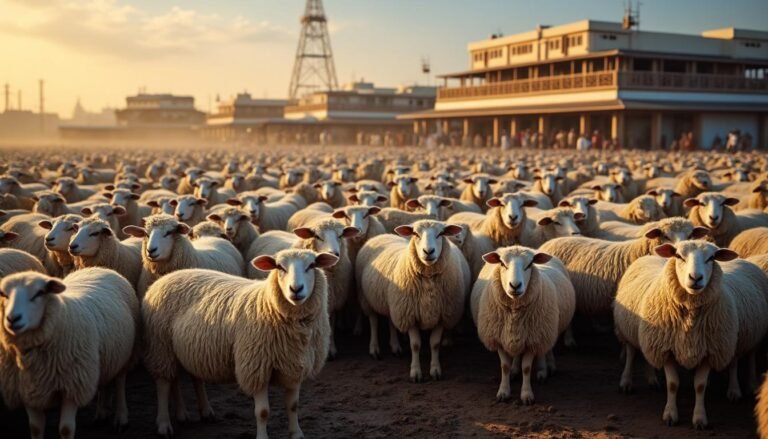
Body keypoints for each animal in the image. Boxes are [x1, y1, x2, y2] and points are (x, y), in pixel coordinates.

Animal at [0, 268, 139, 436]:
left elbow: (66, 429)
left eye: (39, 293)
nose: (12, 319)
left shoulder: (72, 386)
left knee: (119, 383)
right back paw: (101, 414)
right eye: (4, 294)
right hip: (104, 358)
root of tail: (100, 268)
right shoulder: (25, 391)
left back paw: (121, 418)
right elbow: (35, 428)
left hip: (124, 355)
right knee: (103, 383)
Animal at [142, 249, 334, 438]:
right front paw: (262, 436)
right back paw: (164, 424)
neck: (267, 304)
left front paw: (296, 433)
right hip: (160, 344)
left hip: (189, 347)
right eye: (280, 267)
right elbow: (263, 412)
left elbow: (293, 406)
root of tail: (166, 278)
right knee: (164, 384)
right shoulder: (255, 367)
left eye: (312, 265)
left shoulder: (294, 366)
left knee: (187, 378)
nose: (296, 289)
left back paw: (194, 413)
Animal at [356, 220, 470, 381]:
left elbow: (435, 344)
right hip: (366, 298)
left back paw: (395, 347)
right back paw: (374, 349)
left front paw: (435, 370)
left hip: (394, 303)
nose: (428, 251)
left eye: (441, 233)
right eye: (415, 234)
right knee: (373, 321)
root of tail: (381, 235)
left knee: (391, 321)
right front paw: (415, 373)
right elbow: (415, 344)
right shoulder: (410, 315)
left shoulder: (441, 315)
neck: (428, 279)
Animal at [470, 246, 575, 404]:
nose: (515, 286)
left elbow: (526, 368)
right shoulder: (499, 338)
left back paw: (544, 370)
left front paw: (526, 395)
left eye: (530, 265)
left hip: (546, 329)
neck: (514, 312)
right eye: (502, 264)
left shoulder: (532, 338)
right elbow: (505, 366)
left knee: (545, 348)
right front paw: (503, 391)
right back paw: (516, 370)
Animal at [613, 240, 764, 428]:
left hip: (738, 337)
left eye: (711, 258)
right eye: (678, 256)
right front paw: (670, 415)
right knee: (632, 353)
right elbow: (672, 384)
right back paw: (626, 382)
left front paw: (699, 418)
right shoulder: (666, 348)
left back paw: (741, 388)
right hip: (633, 331)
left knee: (741, 358)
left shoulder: (710, 350)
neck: (690, 318)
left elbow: (700, 385)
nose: (695, 278)